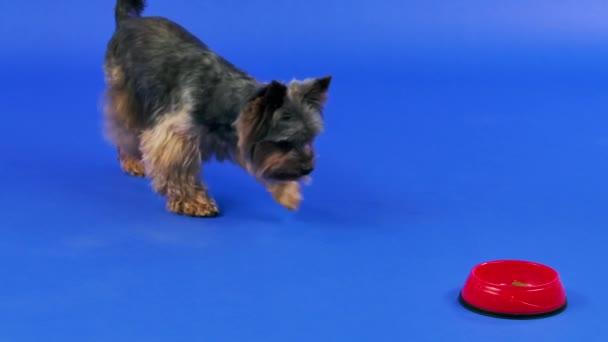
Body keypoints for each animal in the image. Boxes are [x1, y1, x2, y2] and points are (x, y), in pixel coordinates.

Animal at [104, 0, 332, 216]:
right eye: (285, 143)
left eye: (308, 139)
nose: (308, 168)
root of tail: (128, 22)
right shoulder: (176, 136)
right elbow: (179, 168)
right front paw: (193, 201)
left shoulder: (240, 138)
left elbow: (262, 161)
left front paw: (287, 192)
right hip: (127, 95)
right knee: (125, 129)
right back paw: (131, 159)